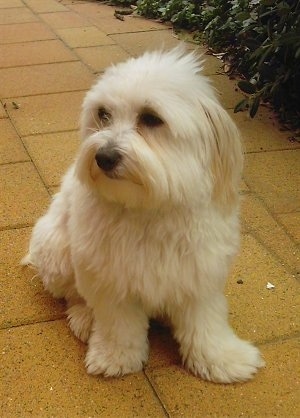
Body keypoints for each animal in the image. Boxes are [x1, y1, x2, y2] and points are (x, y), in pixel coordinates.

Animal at [22, 47, 264, 384]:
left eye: (151, 118)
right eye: (103, 114)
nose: (104, 157)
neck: (149, 207)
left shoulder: (199, 273)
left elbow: (206, 324)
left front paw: (221, 358)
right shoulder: (110, 278)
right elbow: (118, 325)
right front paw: (115, 357)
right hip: (56, 250)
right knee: (73, 294)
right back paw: (84, 317)